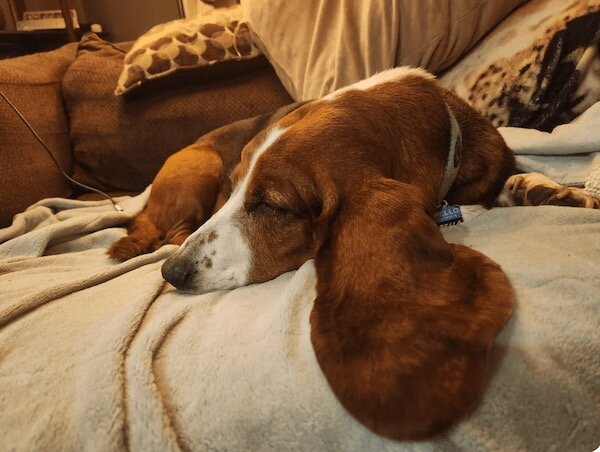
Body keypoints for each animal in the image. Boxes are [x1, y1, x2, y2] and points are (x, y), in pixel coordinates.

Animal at [108, 67, 598, 439]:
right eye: (234, 186)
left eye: (272, 205)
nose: (172, 274)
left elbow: (517, 183)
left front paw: (557, 193)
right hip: (200, 167)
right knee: (170, 231)